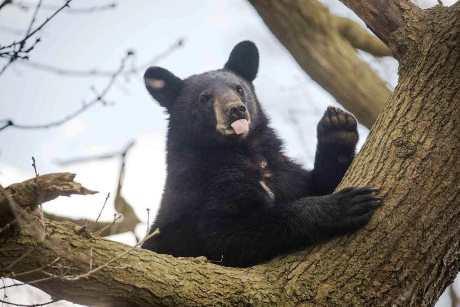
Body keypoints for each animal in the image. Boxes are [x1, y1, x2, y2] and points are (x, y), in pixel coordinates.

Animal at [144, 42, 380, 268]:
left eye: (239, 89)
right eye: (205, 98)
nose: (236, 110)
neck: (243, 150)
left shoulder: (281, 169)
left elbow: (317, 183)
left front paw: (338, 128)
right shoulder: (203, 187)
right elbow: (227, 234)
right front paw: (346, 204)